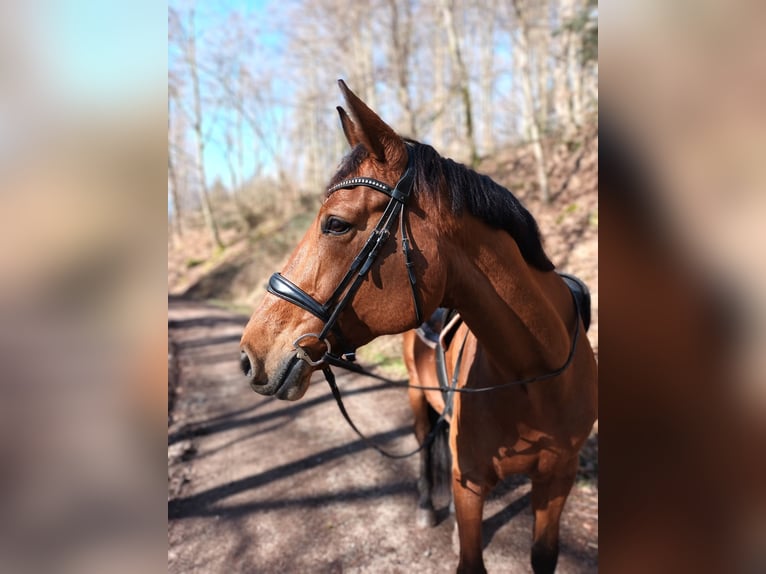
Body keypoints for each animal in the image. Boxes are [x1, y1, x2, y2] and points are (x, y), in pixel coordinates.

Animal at [239, 80, 597, 573]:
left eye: (336, 224)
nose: (250, 353)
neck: (535, 377)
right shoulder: (470, 484)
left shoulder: (557, 481)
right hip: (414, 394)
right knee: (425, 443)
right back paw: (428, 506)